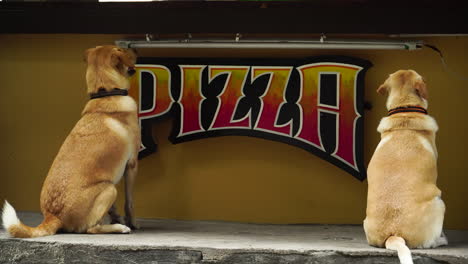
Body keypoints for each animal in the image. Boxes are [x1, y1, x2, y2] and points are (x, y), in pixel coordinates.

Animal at [2, 45, 141, 237]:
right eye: (121, 49)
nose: (135, 49)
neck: (106, 93)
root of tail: (53, 216)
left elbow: (114, 209)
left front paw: (116, 217)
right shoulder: (132, 164)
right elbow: (130, 203)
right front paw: (131, 223)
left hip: (109, 185)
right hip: (109, 188)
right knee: (92, 228)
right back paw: (120, 228)